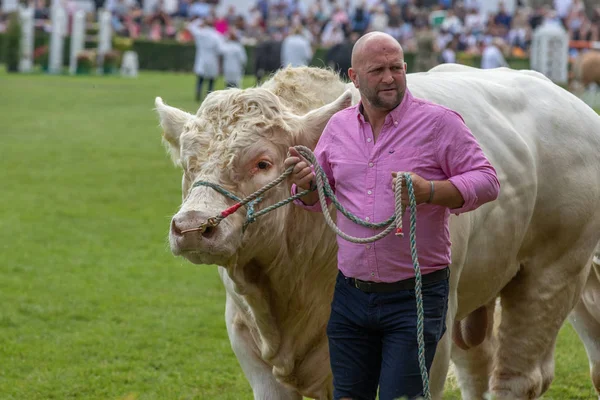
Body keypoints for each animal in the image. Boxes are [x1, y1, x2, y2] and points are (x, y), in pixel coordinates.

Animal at [154, 64, 600, 398]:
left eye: (263, 163)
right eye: (189, 163)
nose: (192, 227)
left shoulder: (426, 341)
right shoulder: (245, 338)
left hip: (553, 275)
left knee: (517, 378)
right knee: (478, 367)